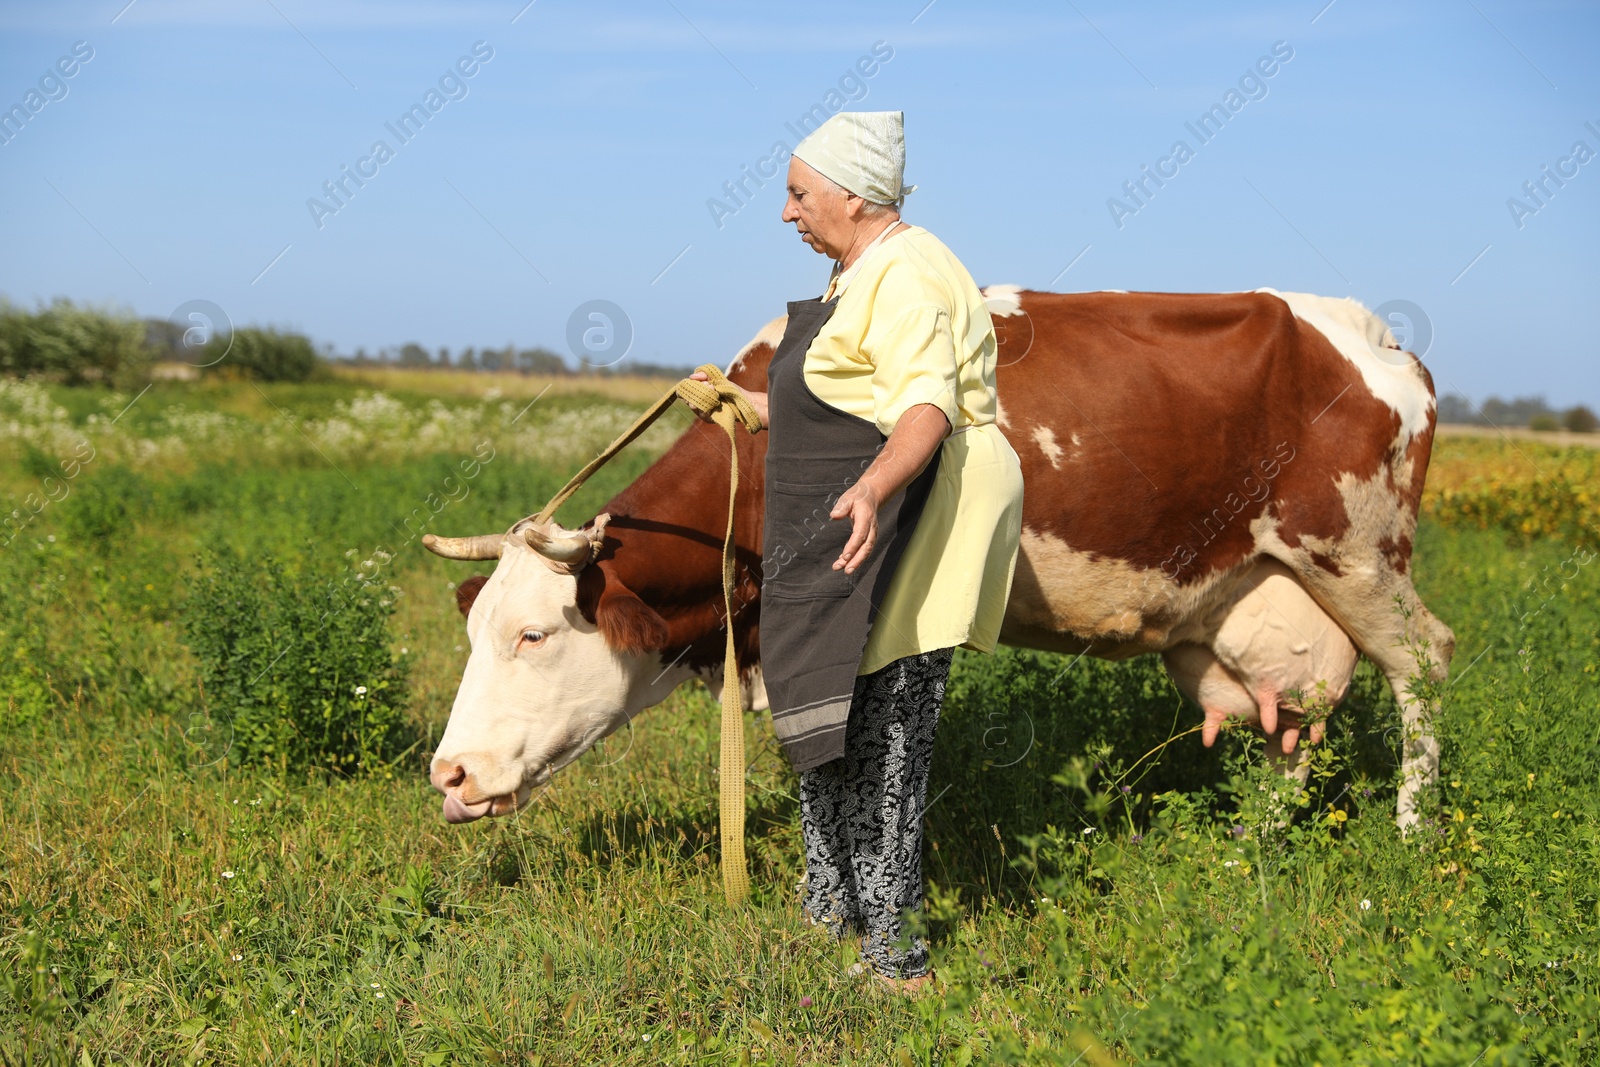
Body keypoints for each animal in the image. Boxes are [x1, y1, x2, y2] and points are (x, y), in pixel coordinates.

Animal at [422, 287, 1452, 831]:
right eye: (472, 631)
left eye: (533, 635)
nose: (449, 775)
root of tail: (1375, 336)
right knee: (1296, 721)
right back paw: (1253, 842)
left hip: (1361, 559)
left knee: (1424, 669)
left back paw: (1409, 835)